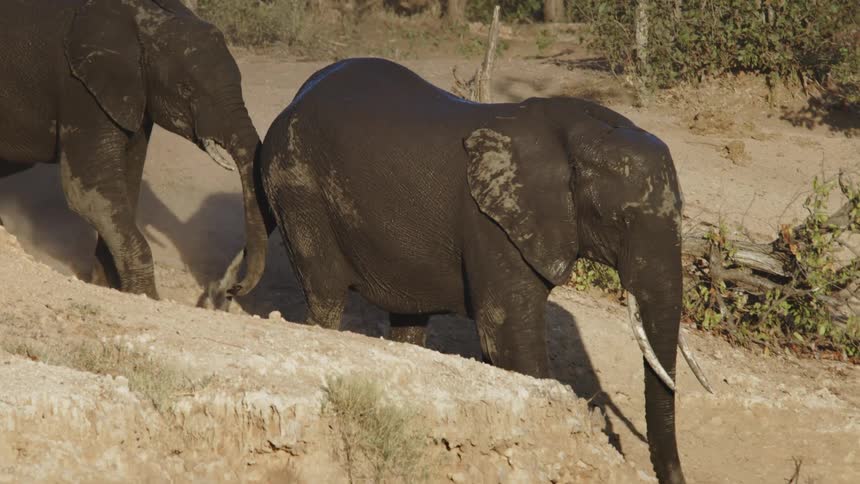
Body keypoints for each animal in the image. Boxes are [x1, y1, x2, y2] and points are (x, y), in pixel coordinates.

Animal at [0, 0, 268, 299]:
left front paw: (107, 286)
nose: (233, 288)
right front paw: (147, 296)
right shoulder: (79, 89)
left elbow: (126, 187)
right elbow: (89, 195)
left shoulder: (134, 95)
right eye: (186, 89)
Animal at [213, 57, 712, 483]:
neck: (577, 133)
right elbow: (507, 335)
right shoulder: (490, 221)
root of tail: (295, 99)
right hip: (297, 184)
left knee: (409, 319)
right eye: (619, 220)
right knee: (326, 294)